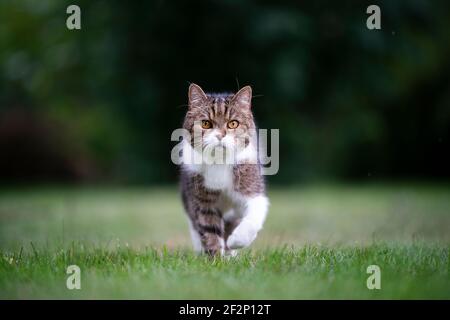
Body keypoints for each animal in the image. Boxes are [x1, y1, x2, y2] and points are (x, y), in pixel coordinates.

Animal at [179, 84, 268, 256]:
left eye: (233, 124)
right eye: (206, 123)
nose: (220, 135)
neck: (219, 161)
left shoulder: (252, 188)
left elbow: (254, 216)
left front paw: (235, 241)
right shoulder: (202, 202)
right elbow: (209, 230)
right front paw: (215, 259)